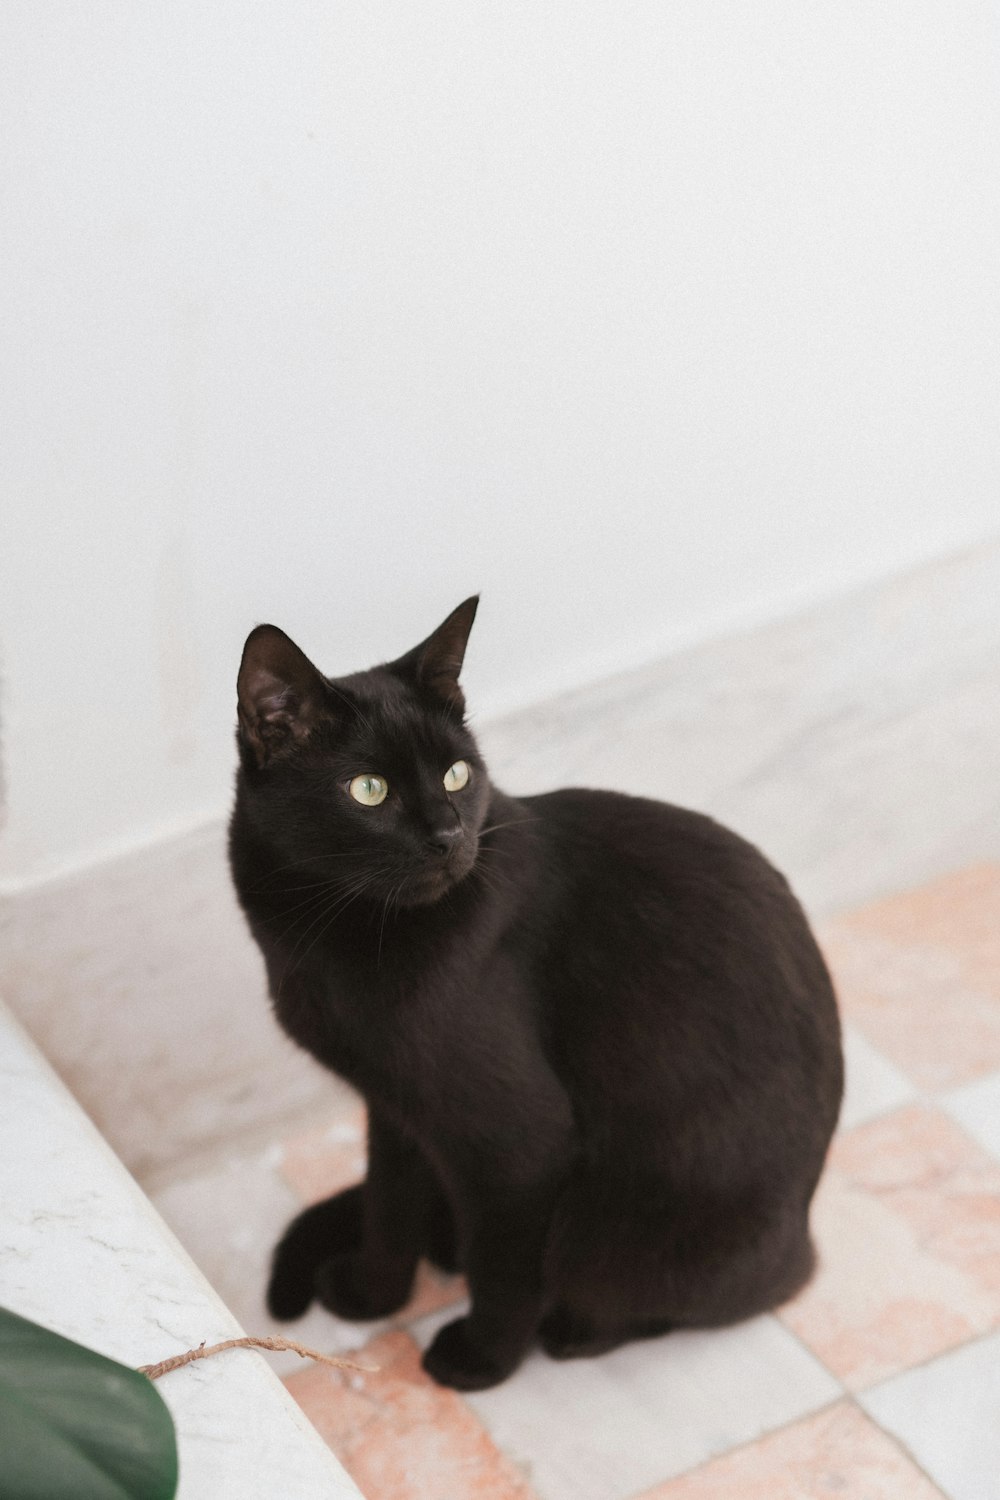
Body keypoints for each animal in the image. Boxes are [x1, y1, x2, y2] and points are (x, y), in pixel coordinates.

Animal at [229, 597, 845, 1392]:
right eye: (369, 789)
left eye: (458, 774)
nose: (449, 835)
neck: (337, 935)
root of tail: (806, 1229)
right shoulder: (395, 1104)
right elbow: (389, 1203)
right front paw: (375, 1295)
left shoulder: (518, 1141)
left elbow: (505, 1264)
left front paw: (480, 1360)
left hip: (608, 1228)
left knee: (682, 1292)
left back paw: (572, 1330)